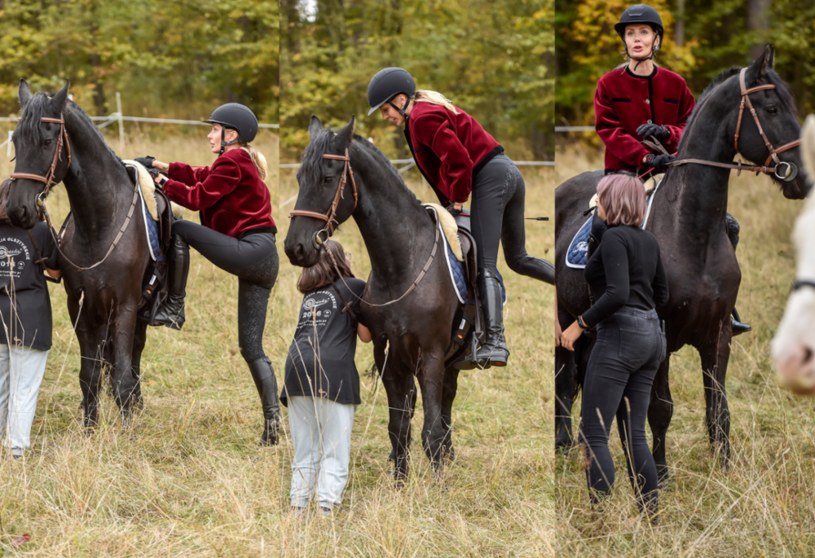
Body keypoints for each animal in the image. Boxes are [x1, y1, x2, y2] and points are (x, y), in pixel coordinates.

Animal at [6, 81, 151, 426]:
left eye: (47, 141)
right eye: (15, 140)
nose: (18, 209)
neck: (99, 224)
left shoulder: (125, 306)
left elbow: (123, 374)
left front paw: (128, 430)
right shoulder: (80, 305)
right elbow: (90, 374)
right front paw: (89, 427)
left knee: (135, 353)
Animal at [286, 117, 466, 482]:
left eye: (327, 179)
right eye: (299, 179)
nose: (295, 247)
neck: (401, 266)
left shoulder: (431, 356)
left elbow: (430, 431)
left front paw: (438, 486)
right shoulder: (389, 357)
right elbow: (398, 427)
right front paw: (399, 481)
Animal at [556, 46, 808, 482]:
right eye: (773, 108)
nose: (804, 179)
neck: (690, 231)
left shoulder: (719, 335)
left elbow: (718, 408)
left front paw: (724, 472)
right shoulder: (661, 333)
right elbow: (660, 409)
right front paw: (659, 472)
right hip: (566, 318)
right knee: (567, 383)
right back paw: (569, 450)